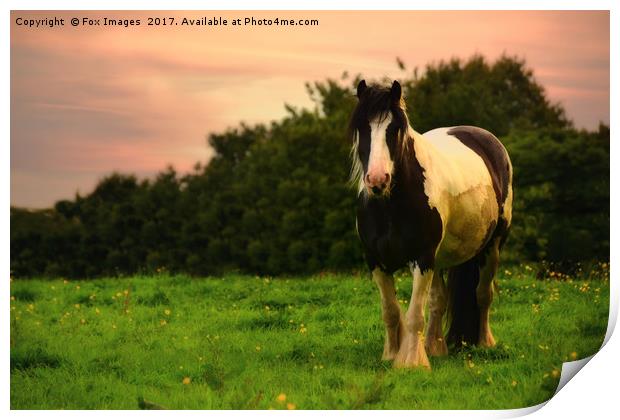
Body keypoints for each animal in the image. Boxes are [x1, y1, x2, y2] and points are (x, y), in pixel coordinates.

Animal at [348, 80, 512, 370]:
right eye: (362, 128)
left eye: (395, 128)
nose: (377, 179)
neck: (390, 206)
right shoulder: (376, 261)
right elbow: (391, 311)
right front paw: (391, 354)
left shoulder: (422, 259)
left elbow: (414, 314)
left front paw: (412, 363)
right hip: (441, 258)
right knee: (439, 300)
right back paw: (435, 348)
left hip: (491, 247)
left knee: (483, 294)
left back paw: (484, 343)